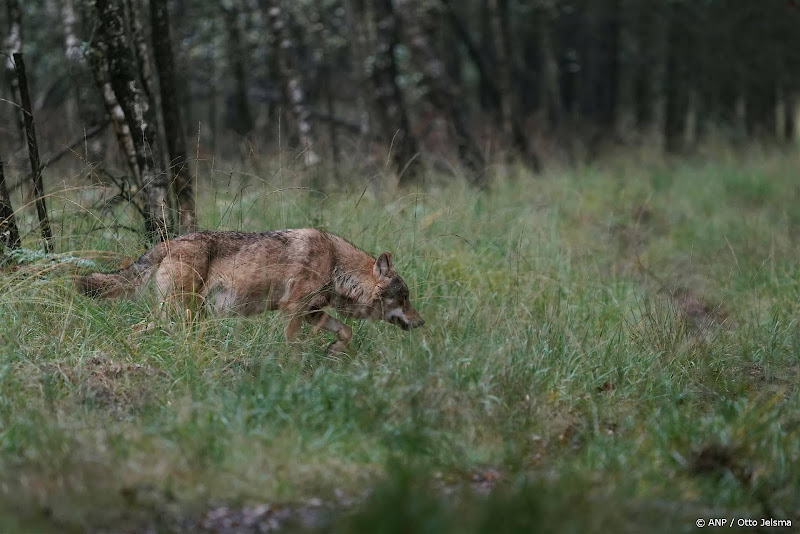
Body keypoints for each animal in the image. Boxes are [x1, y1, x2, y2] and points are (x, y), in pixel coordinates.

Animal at [77, 229, 424, 352]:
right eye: (404, 298)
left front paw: (335, 351)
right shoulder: (293, 312)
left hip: (180, 317)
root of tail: (167, 242)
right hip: (181, 315)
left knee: (133, 331)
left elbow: (347, 331)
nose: (422, 323)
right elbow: (290, 346)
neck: (336, 265)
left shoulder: (313, 313)